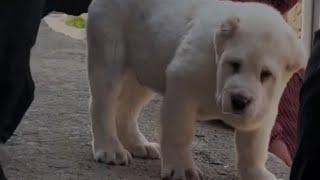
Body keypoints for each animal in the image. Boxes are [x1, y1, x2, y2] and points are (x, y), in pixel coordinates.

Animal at [87, 0, 304, 179]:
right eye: (234, 64)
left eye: (266, 74)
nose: (239, 100)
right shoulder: (182, 85)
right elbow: (180, 132)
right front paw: (182, 168)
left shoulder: (265, 108)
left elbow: (254, 145)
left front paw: (256, 173)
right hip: (109, 51)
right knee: (103, 104)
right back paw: (110, 149)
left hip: (144, 70)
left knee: (127, 109)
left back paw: (139, 145)